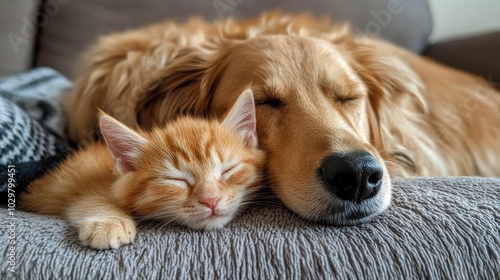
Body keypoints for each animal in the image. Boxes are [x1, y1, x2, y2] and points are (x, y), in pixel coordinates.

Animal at [19, 89, 266, 249]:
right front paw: (109, 223)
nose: (211, 200)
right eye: (176, 180)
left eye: (227, 170)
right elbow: (89, 199)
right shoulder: (85, 188)